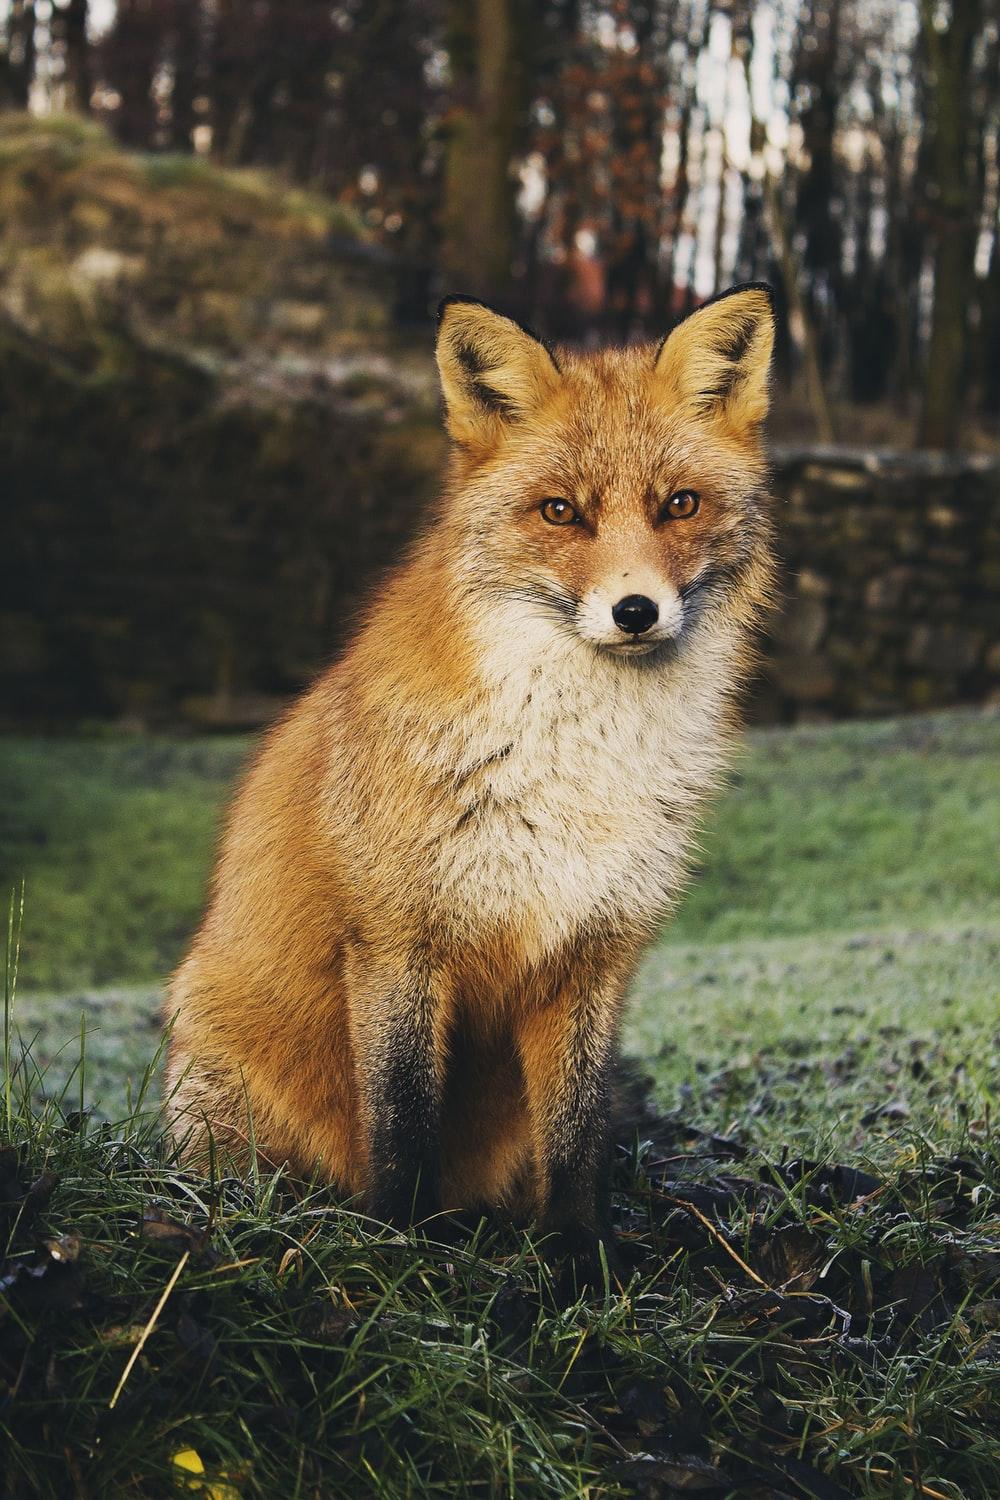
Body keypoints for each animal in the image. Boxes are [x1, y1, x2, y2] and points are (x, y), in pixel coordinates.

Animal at [164, 282, 777, 1277]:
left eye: (680, 504)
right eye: (560, 512)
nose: (635, 610)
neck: (575, 766)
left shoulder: (593, 953)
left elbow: (577, 1136)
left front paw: (580, 1258)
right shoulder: (398, 941)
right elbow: (403, 1120)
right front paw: (404, 1248)